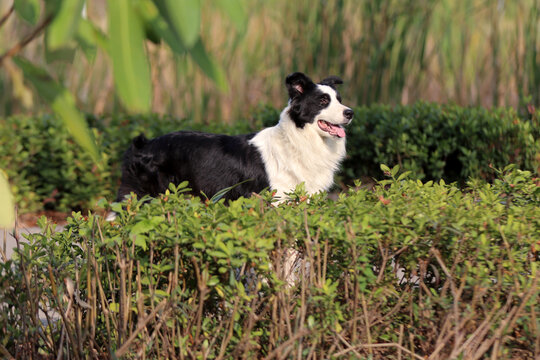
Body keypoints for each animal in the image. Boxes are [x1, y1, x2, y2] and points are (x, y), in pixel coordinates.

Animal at [114, 71, 354, 204]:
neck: (298, 138)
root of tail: (144, 144)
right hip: (147, 195)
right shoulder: (276, 201)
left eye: (339, 100)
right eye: (323, 101)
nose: (350, 113)